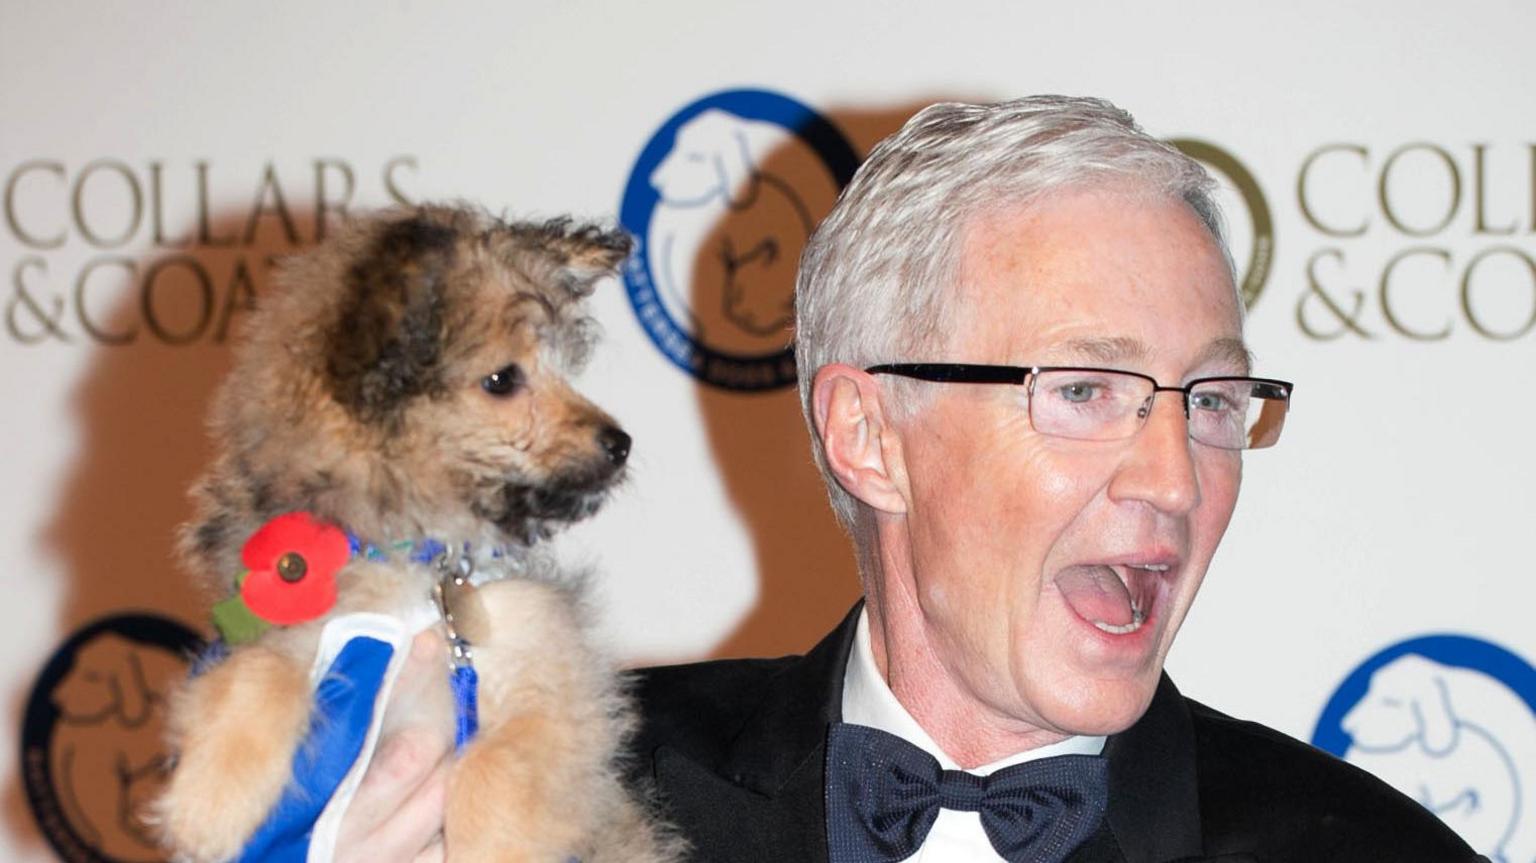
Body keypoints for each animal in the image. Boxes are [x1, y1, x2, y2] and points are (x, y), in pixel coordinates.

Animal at [151, 202, 678, 859]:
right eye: (503, 380)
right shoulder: (295, 635)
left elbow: (491, 770)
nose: (619, 443)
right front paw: (209, 802)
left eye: (560, 368)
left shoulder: (555, 691)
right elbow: (258, 671)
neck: (416, 559)